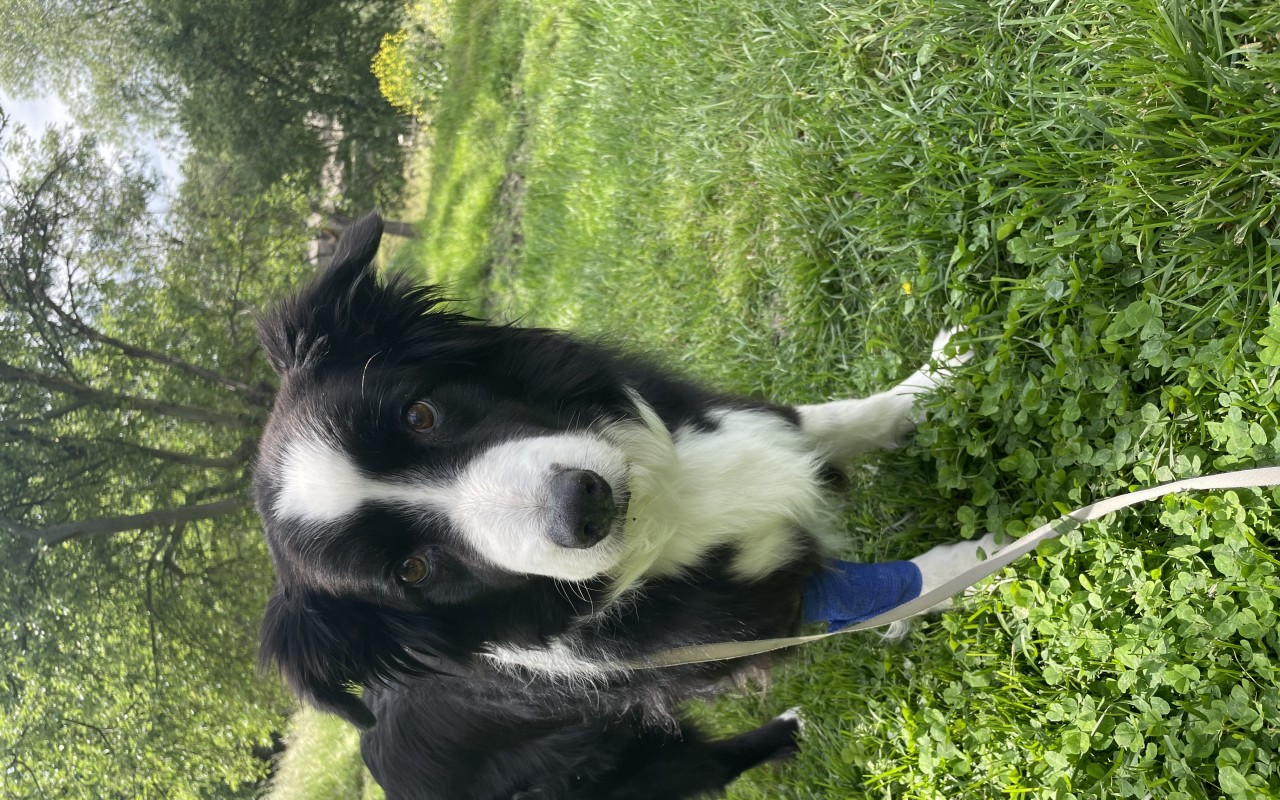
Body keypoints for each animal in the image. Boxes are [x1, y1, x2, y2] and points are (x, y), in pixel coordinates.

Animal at [252, 212, 988, 798]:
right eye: (414, 571)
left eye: (420, 414)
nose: (582, 506)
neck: (663, 513)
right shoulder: (744, 615)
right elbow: (884, 592)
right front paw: (972, 565)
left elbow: (828, 422)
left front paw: (935, 378)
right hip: (606, 762)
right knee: (700, 767)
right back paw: (785, 732)